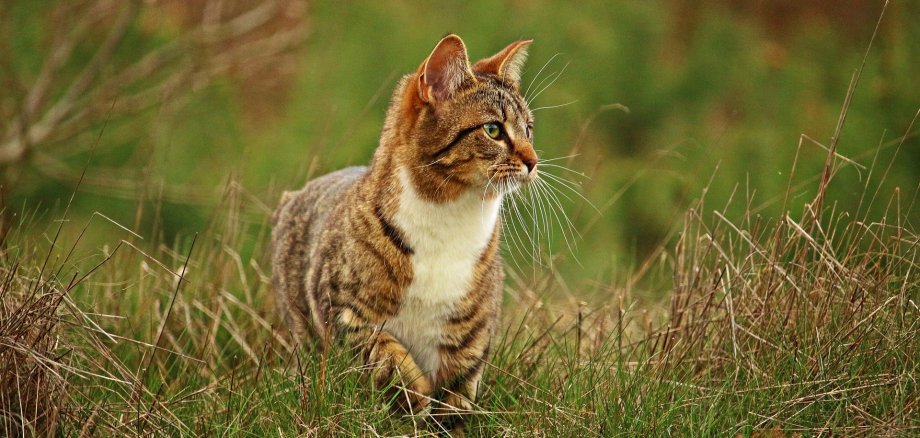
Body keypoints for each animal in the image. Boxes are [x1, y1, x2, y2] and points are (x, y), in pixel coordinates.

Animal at [270, 35, 536, 432]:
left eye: (529, 129)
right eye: (493, 130)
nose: (534, 161)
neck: (451, 217)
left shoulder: (472, 330)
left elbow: (458, 390)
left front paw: (442, 422)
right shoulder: (343, 310)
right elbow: (388, 357)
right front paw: (414, 397)